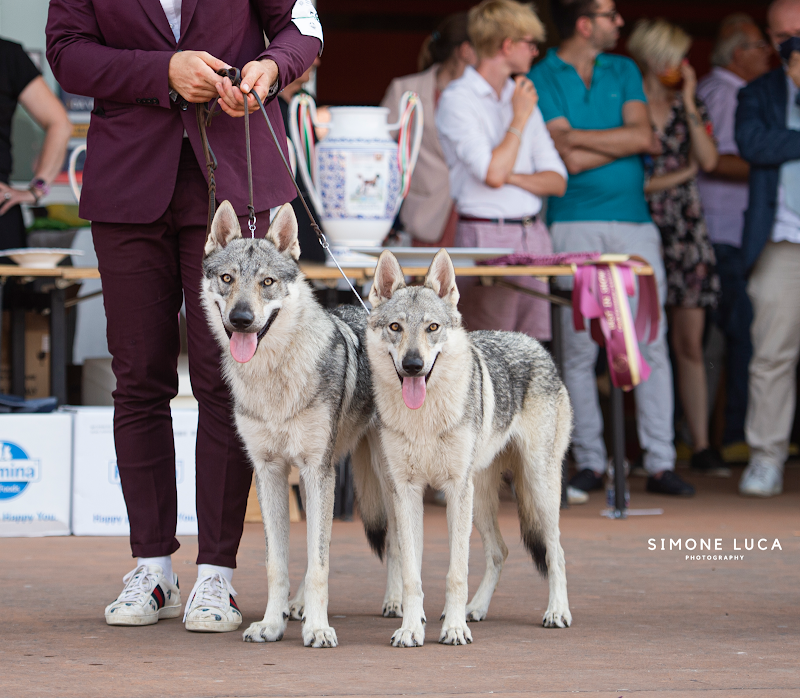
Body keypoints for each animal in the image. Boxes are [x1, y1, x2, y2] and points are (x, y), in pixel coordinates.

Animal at [201, 200, 381, 648]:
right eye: (227, 279)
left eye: (266, 282)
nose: (241, 318)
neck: (273, 378)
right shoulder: (269, 471)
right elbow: (277, 564)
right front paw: (271, 623)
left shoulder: (315, 472)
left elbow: (319, 564)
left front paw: (318, 628)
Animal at [364, 249, 573, 647]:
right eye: (396, 328)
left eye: (432, 328)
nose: (413, 365)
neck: (424, 419)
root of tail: (535, 343)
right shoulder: (407, 492)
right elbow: (412, 574)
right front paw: (411, 629)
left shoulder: (454, 489)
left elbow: (456, 572)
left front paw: (455, 630)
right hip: (481, 499)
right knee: (500, 551)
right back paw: (476, 609)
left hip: (537, 489)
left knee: (556, 551)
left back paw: (556, 612)